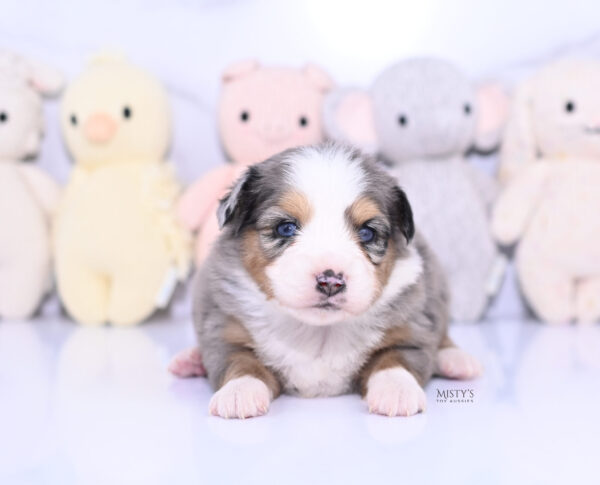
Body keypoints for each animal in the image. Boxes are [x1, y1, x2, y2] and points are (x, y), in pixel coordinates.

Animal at [195, 143, 480, 416]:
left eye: (367, 233)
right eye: (285, 228)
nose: (330, 281)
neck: (320, 331)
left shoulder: (410, 329)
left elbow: (393, 359)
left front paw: (396, 391)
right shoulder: (224, 333)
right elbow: (242, 362)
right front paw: (238, 393)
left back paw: (456, 360)